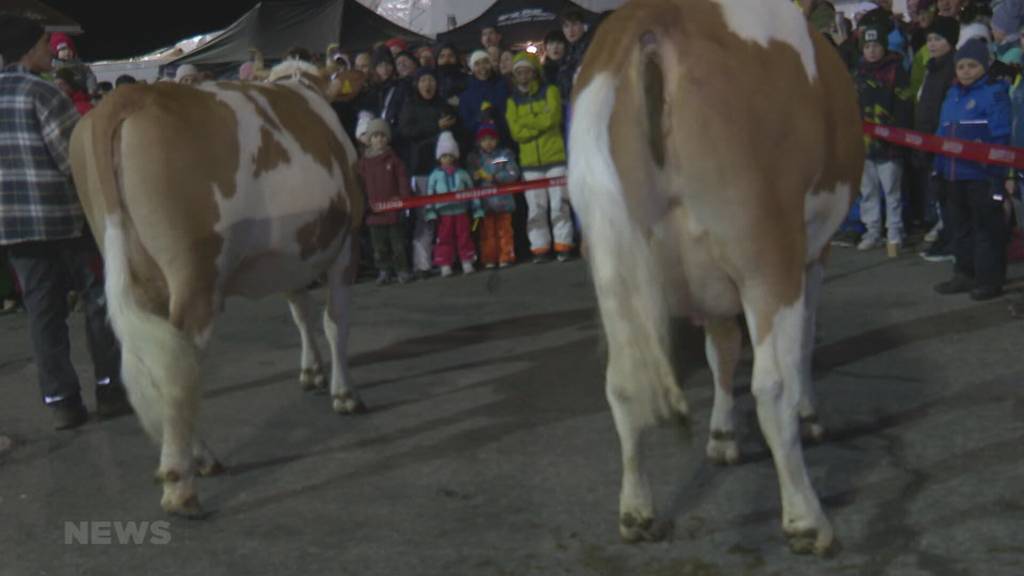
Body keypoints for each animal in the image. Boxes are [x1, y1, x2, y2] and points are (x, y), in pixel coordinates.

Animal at [68, 63, 366, 516]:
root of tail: (128, 97)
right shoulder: (347, 244)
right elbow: (336, 322)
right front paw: (344, 394)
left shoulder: (292, 255)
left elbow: (301, 312)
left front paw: (312, 371)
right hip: (197, 273)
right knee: (178, 369)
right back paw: (181, 481)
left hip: (137, 269)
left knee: (165, 361)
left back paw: (198, 460)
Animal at [569, 0, 864, 557]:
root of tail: (652, 23)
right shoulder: (813, 252)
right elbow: (801, 343)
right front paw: (811, 414)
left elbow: (720, 349)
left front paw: (722, 437)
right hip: (767, 250)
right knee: (771, 387)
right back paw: (806, 520)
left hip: (612, 261)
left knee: (621, 384)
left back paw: (637, 513)